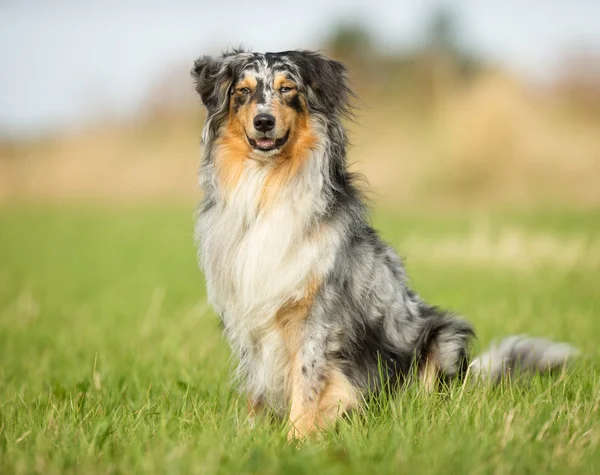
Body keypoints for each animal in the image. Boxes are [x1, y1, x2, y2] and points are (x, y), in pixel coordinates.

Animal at [191, 50, 576, 440]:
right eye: (242, 91)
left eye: (288, 89)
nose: (264, 121)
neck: (267, 188)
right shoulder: (246, 310)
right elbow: (254, 384)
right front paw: (248, 434)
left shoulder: (316, 313)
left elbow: (307, 380)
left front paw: (297, 438)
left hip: (444, 335)